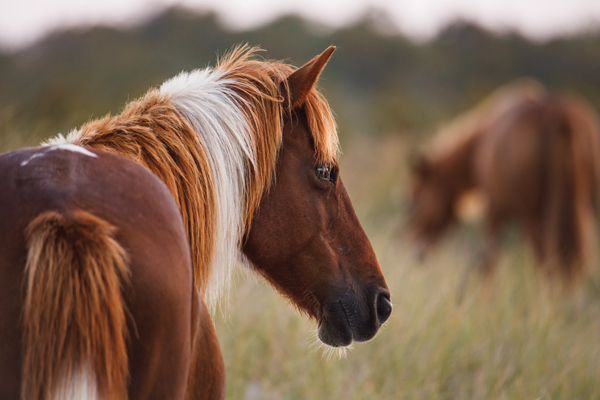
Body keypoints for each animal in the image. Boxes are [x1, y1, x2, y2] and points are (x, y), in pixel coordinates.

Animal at [408, 79, 600, 282]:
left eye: (414, 197)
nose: (412, 249)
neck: (480, 141)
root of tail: (560, 119)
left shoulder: (494, 211)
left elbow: (489, 264)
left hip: (533, 217)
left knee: (546, 263)